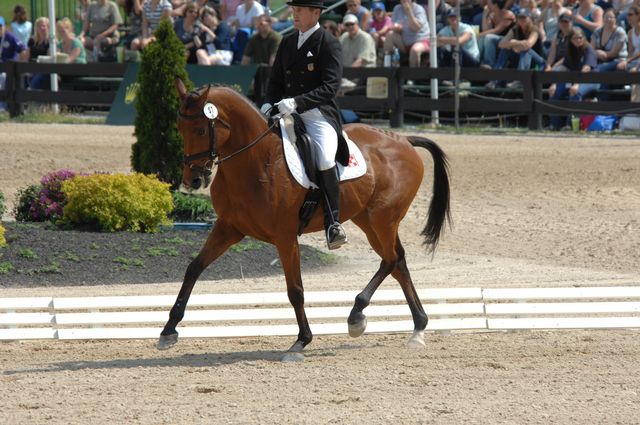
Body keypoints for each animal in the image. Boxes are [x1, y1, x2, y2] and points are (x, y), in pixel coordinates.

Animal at [159, 79, 450, 362]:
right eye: (180, 128)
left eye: (200, 130)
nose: (193, 180)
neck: (257, 161)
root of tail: (403, 139)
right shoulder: (228, 228)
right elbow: (194, 268)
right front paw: (168, 330)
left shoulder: (285, 237)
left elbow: (295, 289)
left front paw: (301, 341)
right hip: (368, 221)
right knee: (398, 261)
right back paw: (418, 327)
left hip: (383, 219)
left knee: (390, 260)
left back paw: (357, 316)